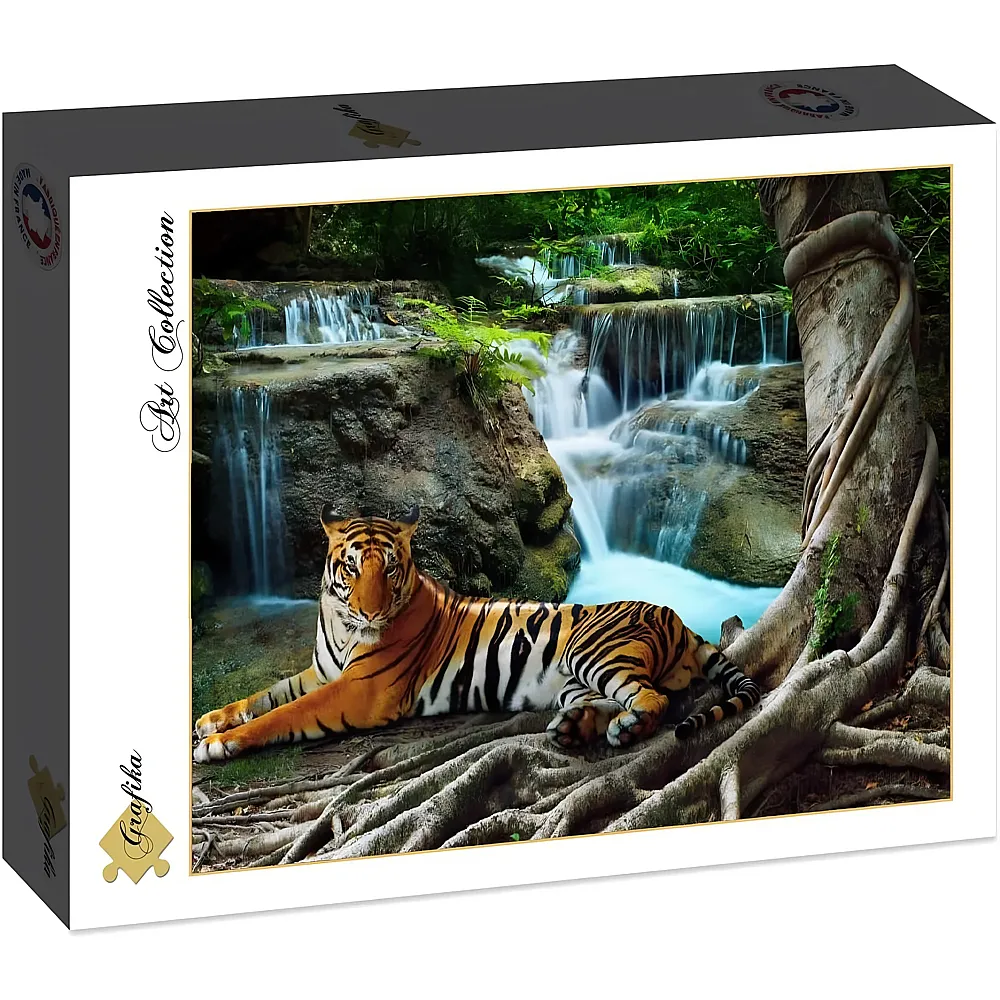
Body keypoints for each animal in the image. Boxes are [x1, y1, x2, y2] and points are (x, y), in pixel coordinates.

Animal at [193, 505, 761, 762]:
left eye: (389, 568)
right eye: (351, 567)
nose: (370, 611)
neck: (340, 622)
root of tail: (678, 618)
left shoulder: (360, 690)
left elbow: (285, 714)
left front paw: (218, 744)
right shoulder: (321, 671)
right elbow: (267, 695)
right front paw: (210, 720)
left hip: (595, 652)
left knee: (653, 698)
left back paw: (626, 728)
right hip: (575, 680)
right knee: (614, 700)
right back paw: (574, 729)